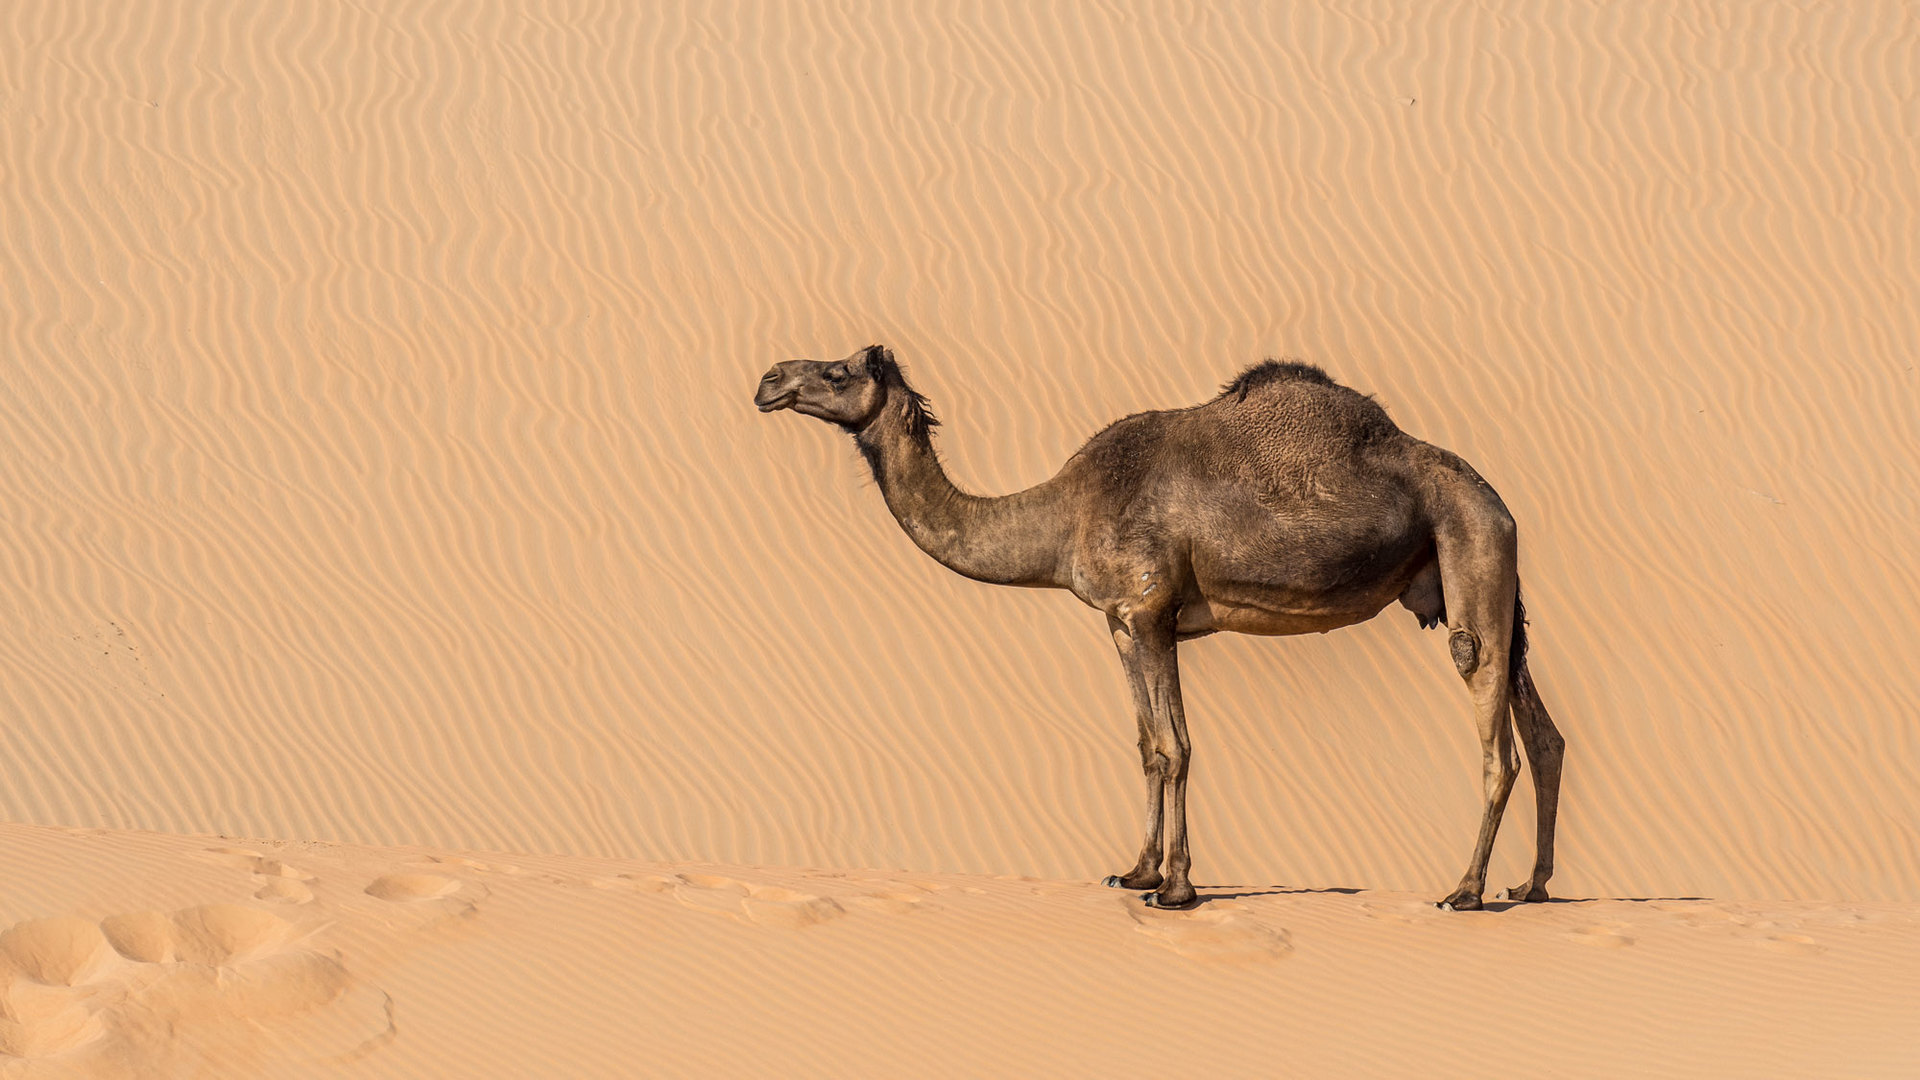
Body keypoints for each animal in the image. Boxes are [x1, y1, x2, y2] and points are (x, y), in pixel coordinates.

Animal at [754, 345, 1564, 911]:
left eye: (835, 371)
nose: (769, 380)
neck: (1063, 513)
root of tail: (1499, 501)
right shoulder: (1120, 623)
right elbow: (1146, 745)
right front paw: (1135, 870)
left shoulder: (1149, 612)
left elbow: (1176, 747)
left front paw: (1175, 890)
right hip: (1489, 575)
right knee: (1544, 734)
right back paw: (1531, 889)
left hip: (1470, 547)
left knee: (1491, 724)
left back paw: (1464, 892)